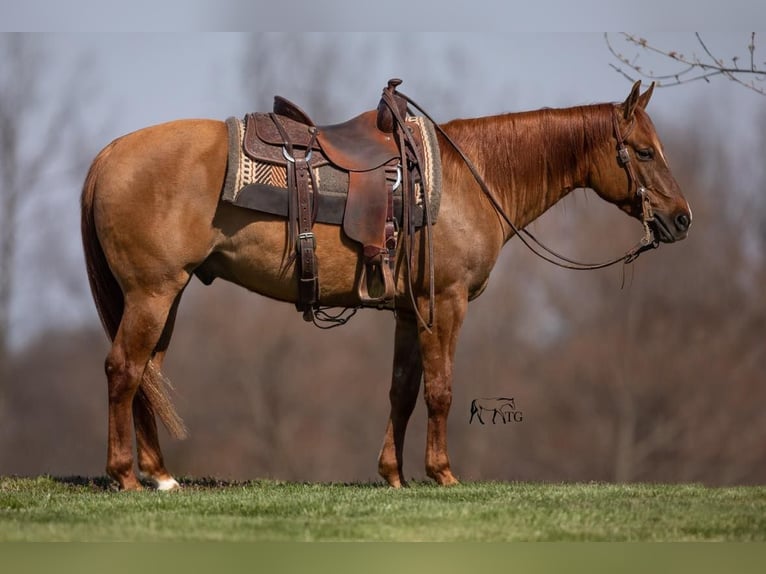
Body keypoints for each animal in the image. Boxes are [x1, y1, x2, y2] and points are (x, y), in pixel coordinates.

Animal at [81, 82, 692, 496]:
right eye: (643, 151)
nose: (682, 219)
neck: (470, 179)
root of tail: (108, 154)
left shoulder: (408, 310)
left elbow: (402, 390)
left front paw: (393, 475)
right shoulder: (445, 302)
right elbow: (441, 389)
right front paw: (442, 473)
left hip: (165, 296)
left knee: (147, 375)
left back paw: (161, 476)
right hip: (152, 294)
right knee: (123, 369)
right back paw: (125, 476)